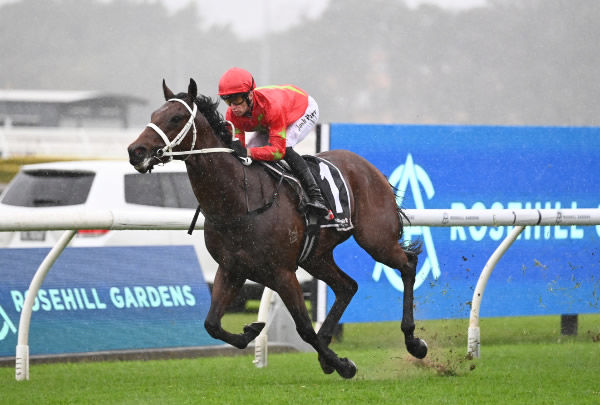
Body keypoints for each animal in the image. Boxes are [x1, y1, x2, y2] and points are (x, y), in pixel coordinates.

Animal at [127, 79, 426, 378]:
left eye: (176, 118)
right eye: (154, 115)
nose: (135, 151)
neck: (238, 202)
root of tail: (370, 168)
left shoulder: (282, 272)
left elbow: (305, 329)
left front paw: (343, 364)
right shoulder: (231, 269)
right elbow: (212, 324)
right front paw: (252, 331)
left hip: (376, 239)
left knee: (407, 265)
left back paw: (413, 341)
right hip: (315, 256)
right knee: (347, 286)